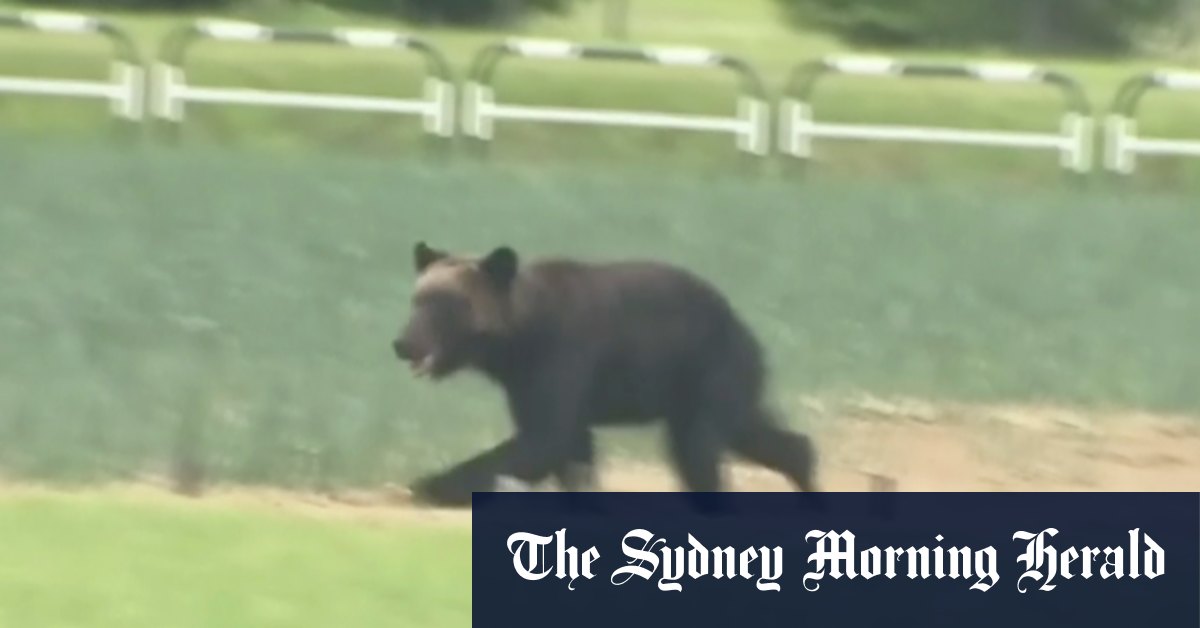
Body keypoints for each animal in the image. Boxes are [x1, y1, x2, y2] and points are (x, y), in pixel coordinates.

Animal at [392, 241, 818, 507]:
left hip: (710, 367)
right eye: (417, 299)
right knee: (756, 432)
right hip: (698, 384)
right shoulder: (526, 382)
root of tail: (742, 323)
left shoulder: (562, 356)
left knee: (699, 449)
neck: (517, 342)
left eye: (446, 303)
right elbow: (569, 450)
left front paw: (426, 483)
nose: (403, 343)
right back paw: (804, 467)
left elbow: (542, 440)